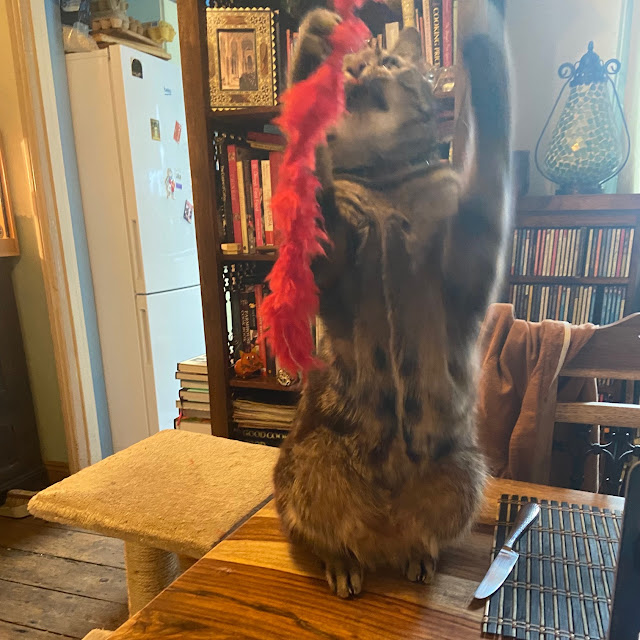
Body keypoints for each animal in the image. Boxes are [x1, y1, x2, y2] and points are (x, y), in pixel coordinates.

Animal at [272, 5, 512, 596]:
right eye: (348, 66)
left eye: (389, 61)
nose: (357, 69)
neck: (384, 180)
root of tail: (382, 531)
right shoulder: (326, 255)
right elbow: (313, 170)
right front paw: (311, 49)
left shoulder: (472, 255)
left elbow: (491, 161)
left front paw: (482, 35)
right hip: (310, 462)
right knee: (327, 536)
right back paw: (342, 565)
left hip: (465, 469)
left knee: (422, 535)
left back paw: (419, 556)